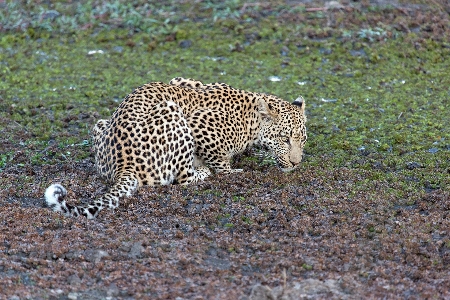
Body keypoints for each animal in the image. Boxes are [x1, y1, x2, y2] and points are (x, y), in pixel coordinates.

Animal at [44, 77, 306, 218]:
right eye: (285, 139)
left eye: (302, 140)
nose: (296, 163)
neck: (251, 117)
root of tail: (122, 166)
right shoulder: (199, 124)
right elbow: (220, 162)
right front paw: (232, 170)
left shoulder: (182, 81)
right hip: (172, 112)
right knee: (182, 178)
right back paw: (202, 171)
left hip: (101, 124)